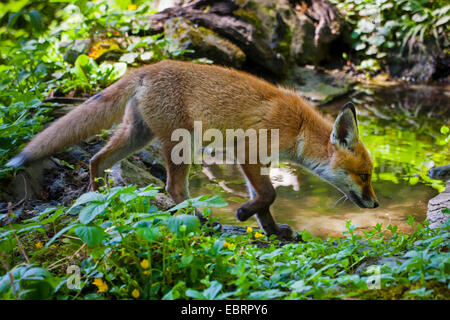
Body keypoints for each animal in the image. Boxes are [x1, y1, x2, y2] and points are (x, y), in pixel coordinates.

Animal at [7, 60, 380, 239]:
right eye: (364, 175)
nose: (376, 204)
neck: (298, 127)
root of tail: (146, 69)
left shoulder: (257, 160)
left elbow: (265, 203)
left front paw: (274, 232)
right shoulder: (247, 152)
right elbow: (269, 195)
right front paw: (243, 215)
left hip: (137, 135)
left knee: (97, 159)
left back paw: (99, 200)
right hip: (180, 144)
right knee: (172, 187)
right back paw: (200, 220)